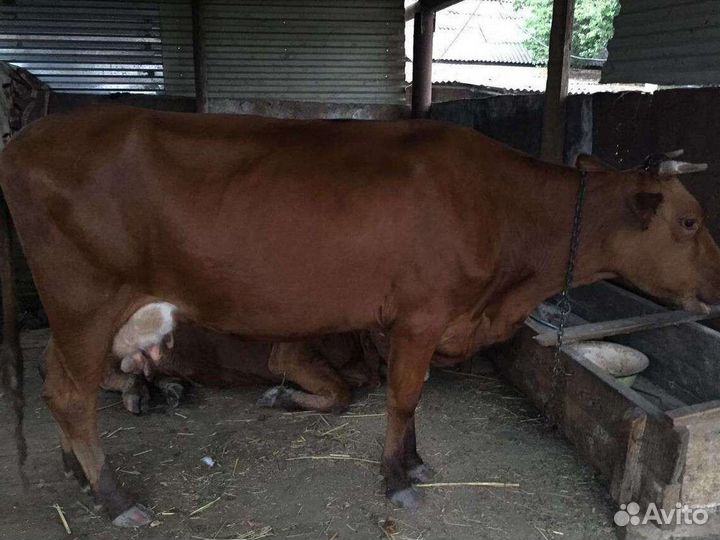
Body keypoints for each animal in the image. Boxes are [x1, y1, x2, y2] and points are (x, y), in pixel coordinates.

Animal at [1, 105, 718, 527]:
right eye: (689, 221)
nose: (717, 287)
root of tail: (29, 137)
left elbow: (411, 397)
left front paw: (416, 463)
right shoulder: (422, 314)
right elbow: (404, 396)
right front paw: (398, 479)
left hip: (84, 313)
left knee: (56, 382)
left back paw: (80, 473)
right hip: (86, 299)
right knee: (69, 393)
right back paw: (117, 500)